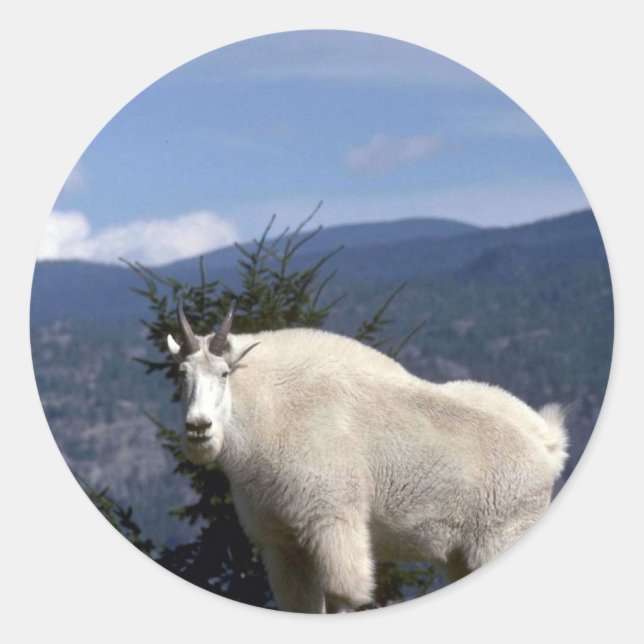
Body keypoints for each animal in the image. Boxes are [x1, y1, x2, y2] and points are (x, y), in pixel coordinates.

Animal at [167, 300, 568, 613]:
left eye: (224, 373)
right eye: (181, 373)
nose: (199, 427)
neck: (270, 411)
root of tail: (549, 448)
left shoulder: (332, 519)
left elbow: (343, 597)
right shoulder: (282, 541)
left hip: (506, 533)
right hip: (463, 553)